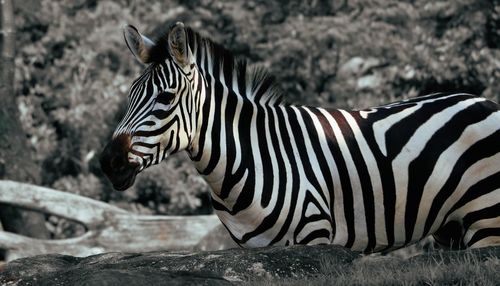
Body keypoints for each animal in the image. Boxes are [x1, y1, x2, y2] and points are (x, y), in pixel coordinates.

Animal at [98, 22, 500, 252]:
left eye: (165, 98)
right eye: (130, 95)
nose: (108, 162)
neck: (244, 160)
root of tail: (484, 100)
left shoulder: (314, 235)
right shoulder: (254, 252)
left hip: (487, 219)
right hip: (451, 227)